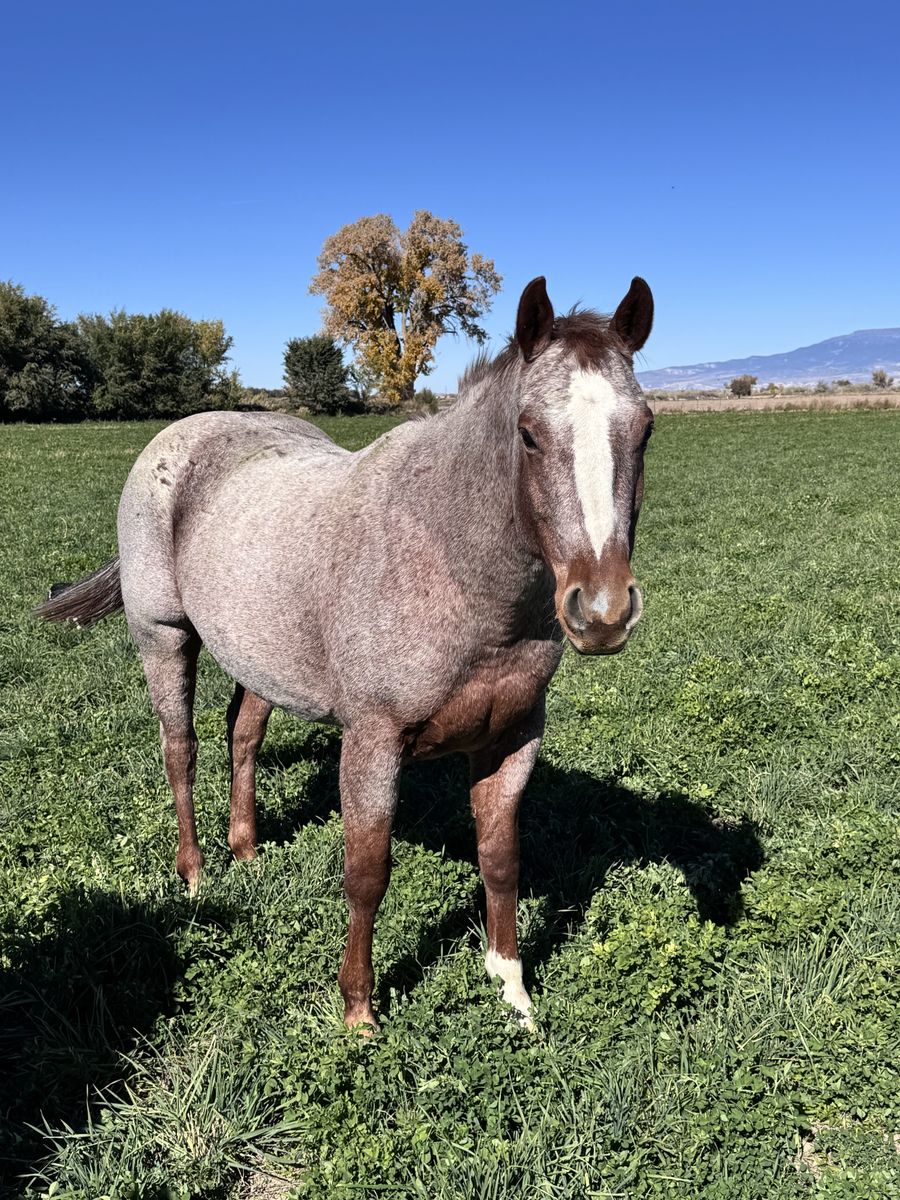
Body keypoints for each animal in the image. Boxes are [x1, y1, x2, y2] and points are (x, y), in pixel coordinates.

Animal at [36, 275, 654, 1029]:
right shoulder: (372, 741)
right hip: (164, 637)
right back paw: (196, 873)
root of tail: (179, 435)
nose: (603, 612)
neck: (451, 563)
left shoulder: (512, 738)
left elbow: (501, 859)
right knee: (179, 750)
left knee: (241, 737)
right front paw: (358, 1009)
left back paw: (247, 853)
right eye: (530, 435)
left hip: (258, 659)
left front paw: (512, 990)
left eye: (645, 429)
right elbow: (366, 873)